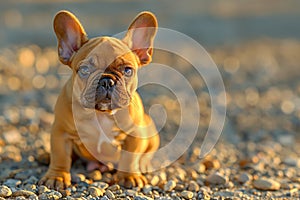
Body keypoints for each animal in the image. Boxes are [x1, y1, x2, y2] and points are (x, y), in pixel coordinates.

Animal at [40, 10, 162, 190]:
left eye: (127, 70)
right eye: (84, 69)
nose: (106, 80)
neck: (102, 113)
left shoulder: (134, 134)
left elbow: (130, 158)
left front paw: (130, 176)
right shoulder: (60, 131)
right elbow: (60, 155)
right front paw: (57, 176)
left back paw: (144, 164)